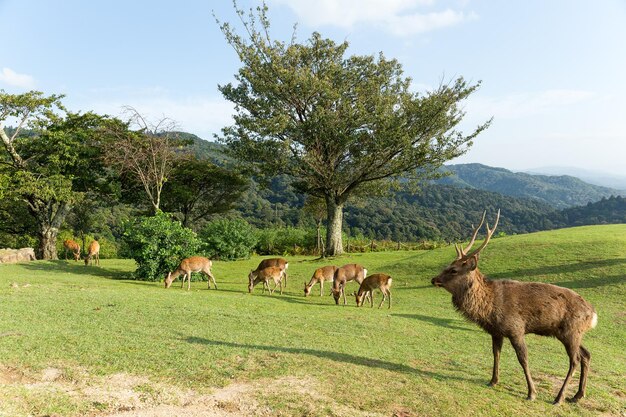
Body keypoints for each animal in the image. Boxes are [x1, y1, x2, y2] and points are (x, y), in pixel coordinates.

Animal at [428, 210, 596, 404]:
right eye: (447, 265)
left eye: (454, 270)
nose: (434, 279)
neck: (489, 308)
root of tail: (593, 314)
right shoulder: (496, 331)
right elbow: (496, 353)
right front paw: (493, 380)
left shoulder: (516, 328)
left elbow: (523, 359)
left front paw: (531, 392)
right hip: (572, 333)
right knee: (586, 354)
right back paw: (577, 395)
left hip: (571, 331)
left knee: (574, 360)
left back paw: (559, 397)